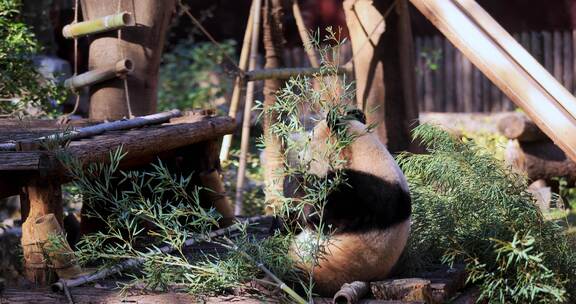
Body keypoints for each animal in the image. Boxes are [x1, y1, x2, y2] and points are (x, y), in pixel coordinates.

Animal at [282, 108, 410, 296]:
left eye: (310, 139)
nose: (299, 155)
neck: (366, 156)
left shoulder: (364, 192)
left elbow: (319, 218)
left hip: (323, 268)